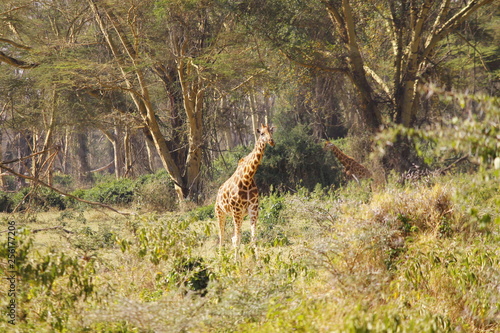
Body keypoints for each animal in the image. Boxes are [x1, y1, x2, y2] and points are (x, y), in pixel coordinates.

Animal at [216, 123, 278, 255]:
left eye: (271, 131)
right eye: (262, 133)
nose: (271, 141)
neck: (247, 178)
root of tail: (218, 193)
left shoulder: (253, 209)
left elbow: (253, 237)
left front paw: (258, 259)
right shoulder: (237, 210)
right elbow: (238, 239)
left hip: (235, 215)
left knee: (232, 237)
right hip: (220, 212)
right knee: (222, 236)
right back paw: (221, 257)